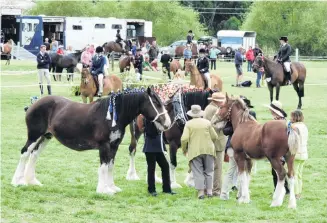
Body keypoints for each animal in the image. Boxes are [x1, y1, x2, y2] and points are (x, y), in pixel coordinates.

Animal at [10, 88, 172, 196]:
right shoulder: (104, 146)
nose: (168, 123)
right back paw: (18, 181)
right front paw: (103, 190)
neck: (112, 116)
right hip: (34, 135)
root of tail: (33, 104)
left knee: (34, 154)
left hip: (46, 137)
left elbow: (111, 166)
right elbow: (104, 167)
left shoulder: (114, 146)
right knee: (25, 153)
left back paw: (32, 181)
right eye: (156, 103)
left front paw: (112, 187)